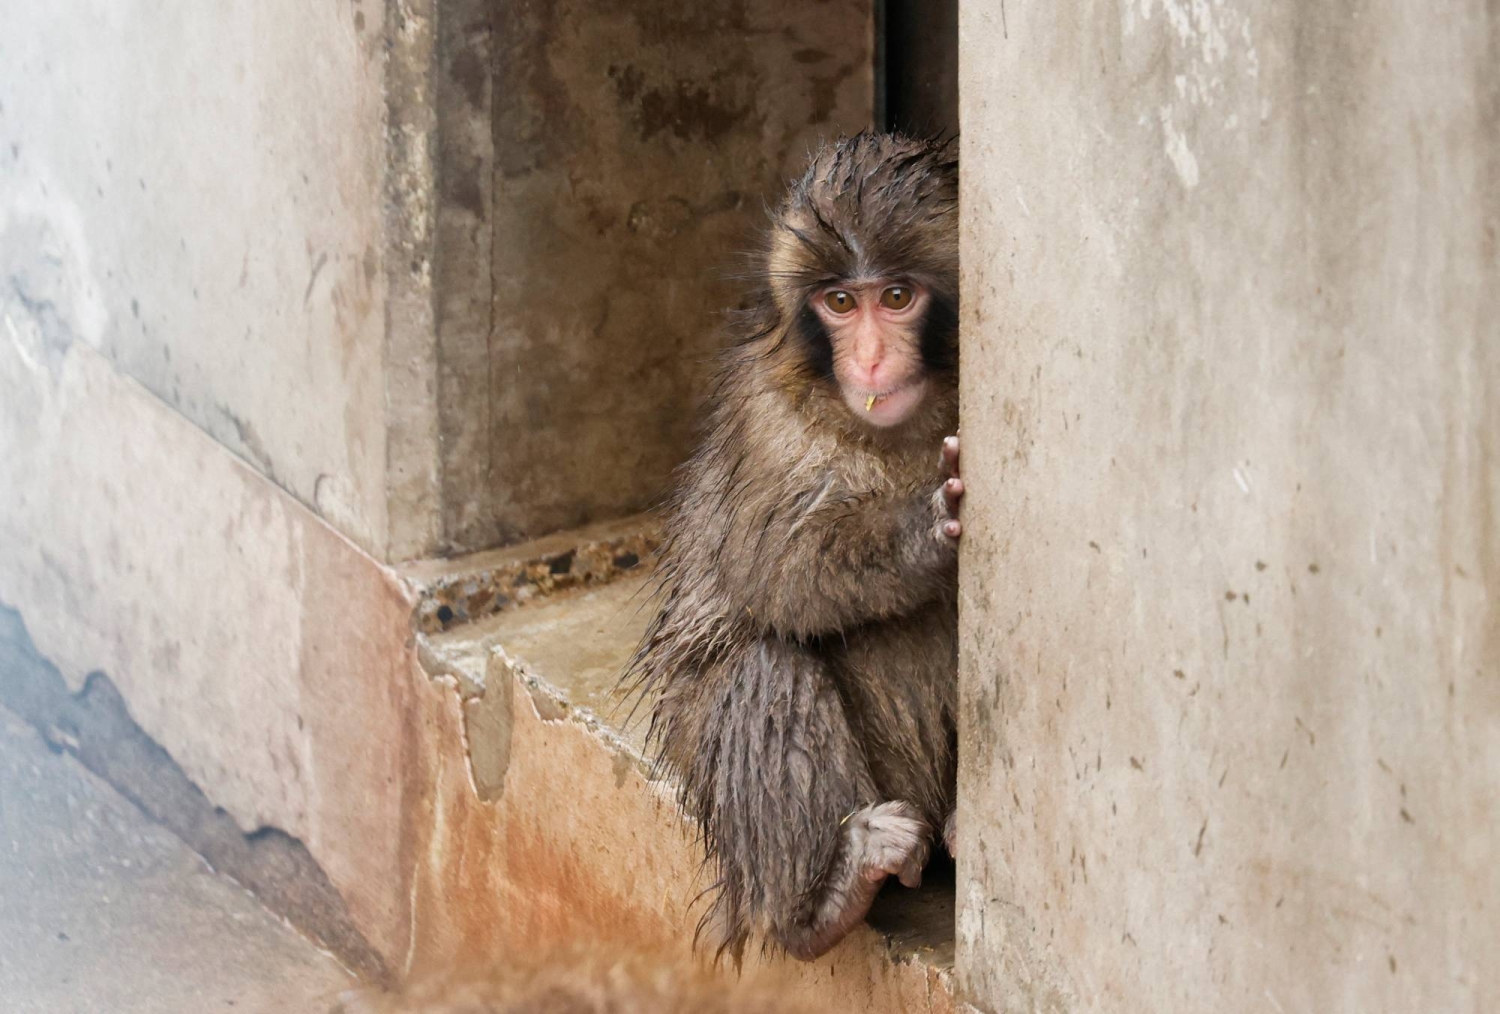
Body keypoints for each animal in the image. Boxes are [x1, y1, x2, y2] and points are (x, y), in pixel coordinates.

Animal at [623, 132, 963, 962]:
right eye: (839, 304)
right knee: (765, 668)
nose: (868, 361)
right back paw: (825, 901)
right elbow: (773, 568)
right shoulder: (765, 414)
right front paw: (925, 533)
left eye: (895, 298)